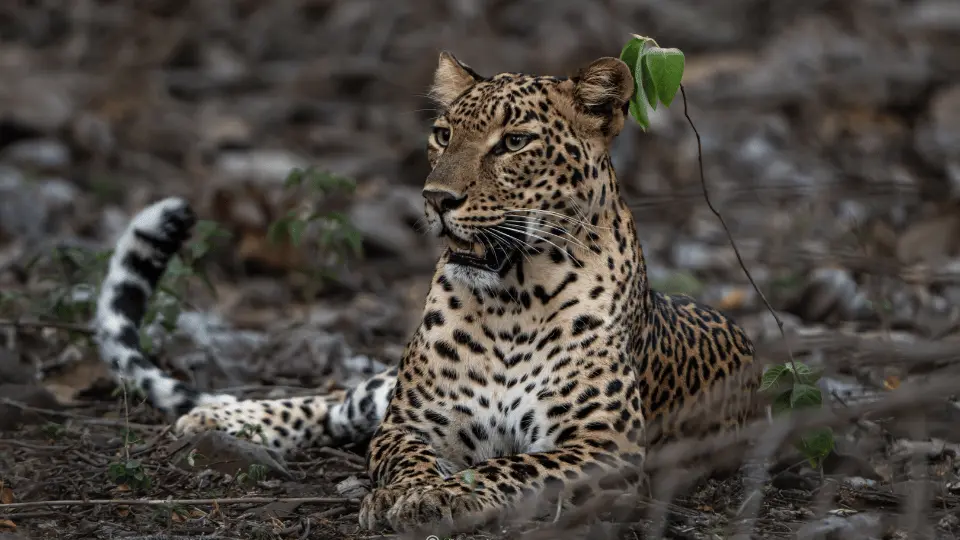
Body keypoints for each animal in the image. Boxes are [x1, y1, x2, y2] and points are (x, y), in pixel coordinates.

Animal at [93, 52, 760, 533]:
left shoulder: (603, 447)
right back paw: (217, 417)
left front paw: (439, 500)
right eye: (442, 134)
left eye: (514, 142)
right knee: (335, 402)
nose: (436, 199)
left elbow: (513, 465)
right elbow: (406, 456)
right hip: (380, 392)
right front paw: (409, 493)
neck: (514, 300)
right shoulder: (410, 422)